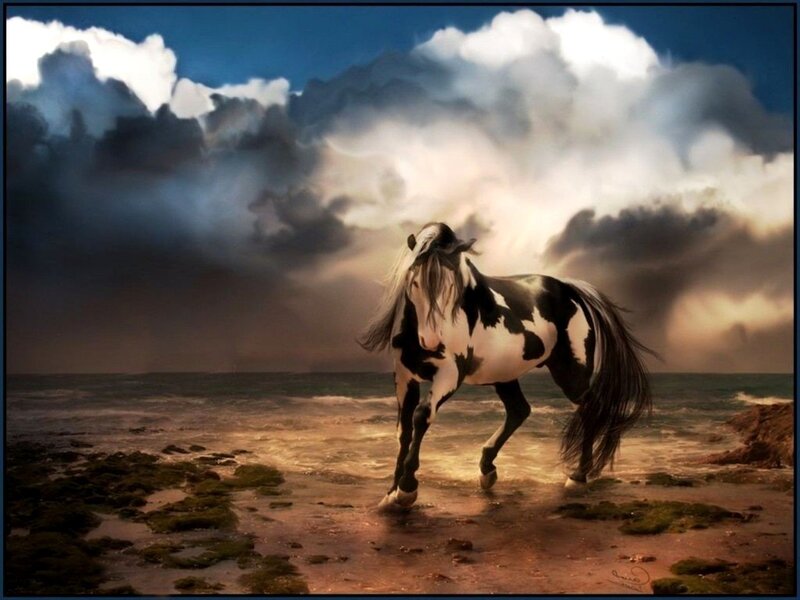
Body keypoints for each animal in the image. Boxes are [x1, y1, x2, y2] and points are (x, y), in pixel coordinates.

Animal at [359, 222, 654, 510]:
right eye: (415, 282)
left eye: (454, 287)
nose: (432, 342)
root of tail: (569, 289)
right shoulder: (404, 376)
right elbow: (404, 430)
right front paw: (391, 492)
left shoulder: (449, 375)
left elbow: (421, 417)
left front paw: (407, 488)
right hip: (505, 374)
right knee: (519, 410)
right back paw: (487, 470)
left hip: (571, 372)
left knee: (591, 406)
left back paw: (578, 477)